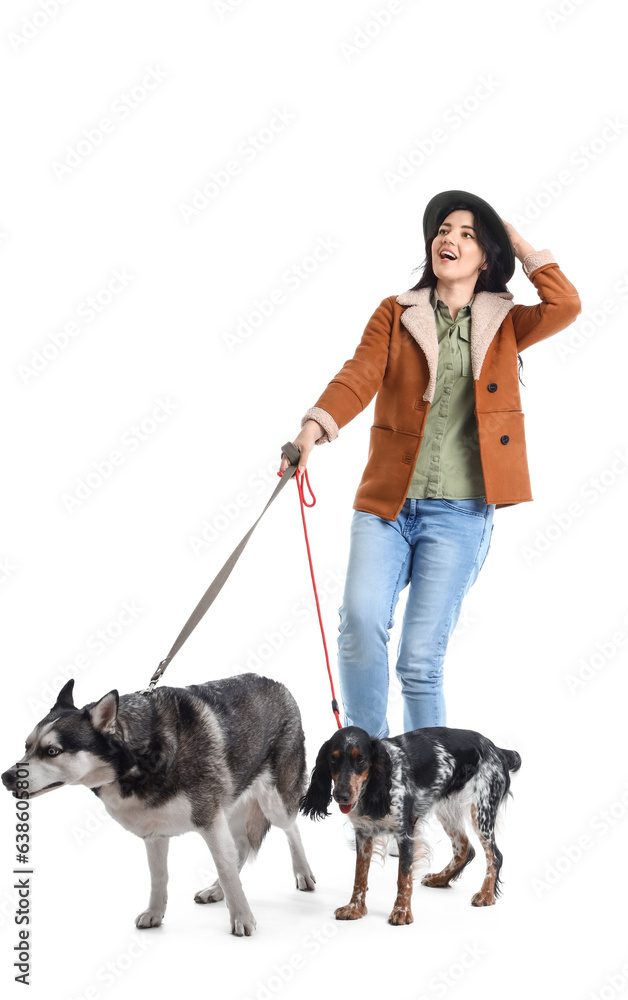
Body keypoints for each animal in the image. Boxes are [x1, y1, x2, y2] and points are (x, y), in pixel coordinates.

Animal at [0, 672, 314, 936]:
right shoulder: (155, 832)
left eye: (52, 751)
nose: (7, 776)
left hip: (273, 800)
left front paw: (242, 918)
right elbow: (159, 876)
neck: (140, 757)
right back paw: (215, 890)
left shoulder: (209, 819)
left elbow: (225, 868)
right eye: (27, 747)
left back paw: (303, 873)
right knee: (243, 844)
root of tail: (277, 684)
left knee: (291, 828)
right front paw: (155, 913)